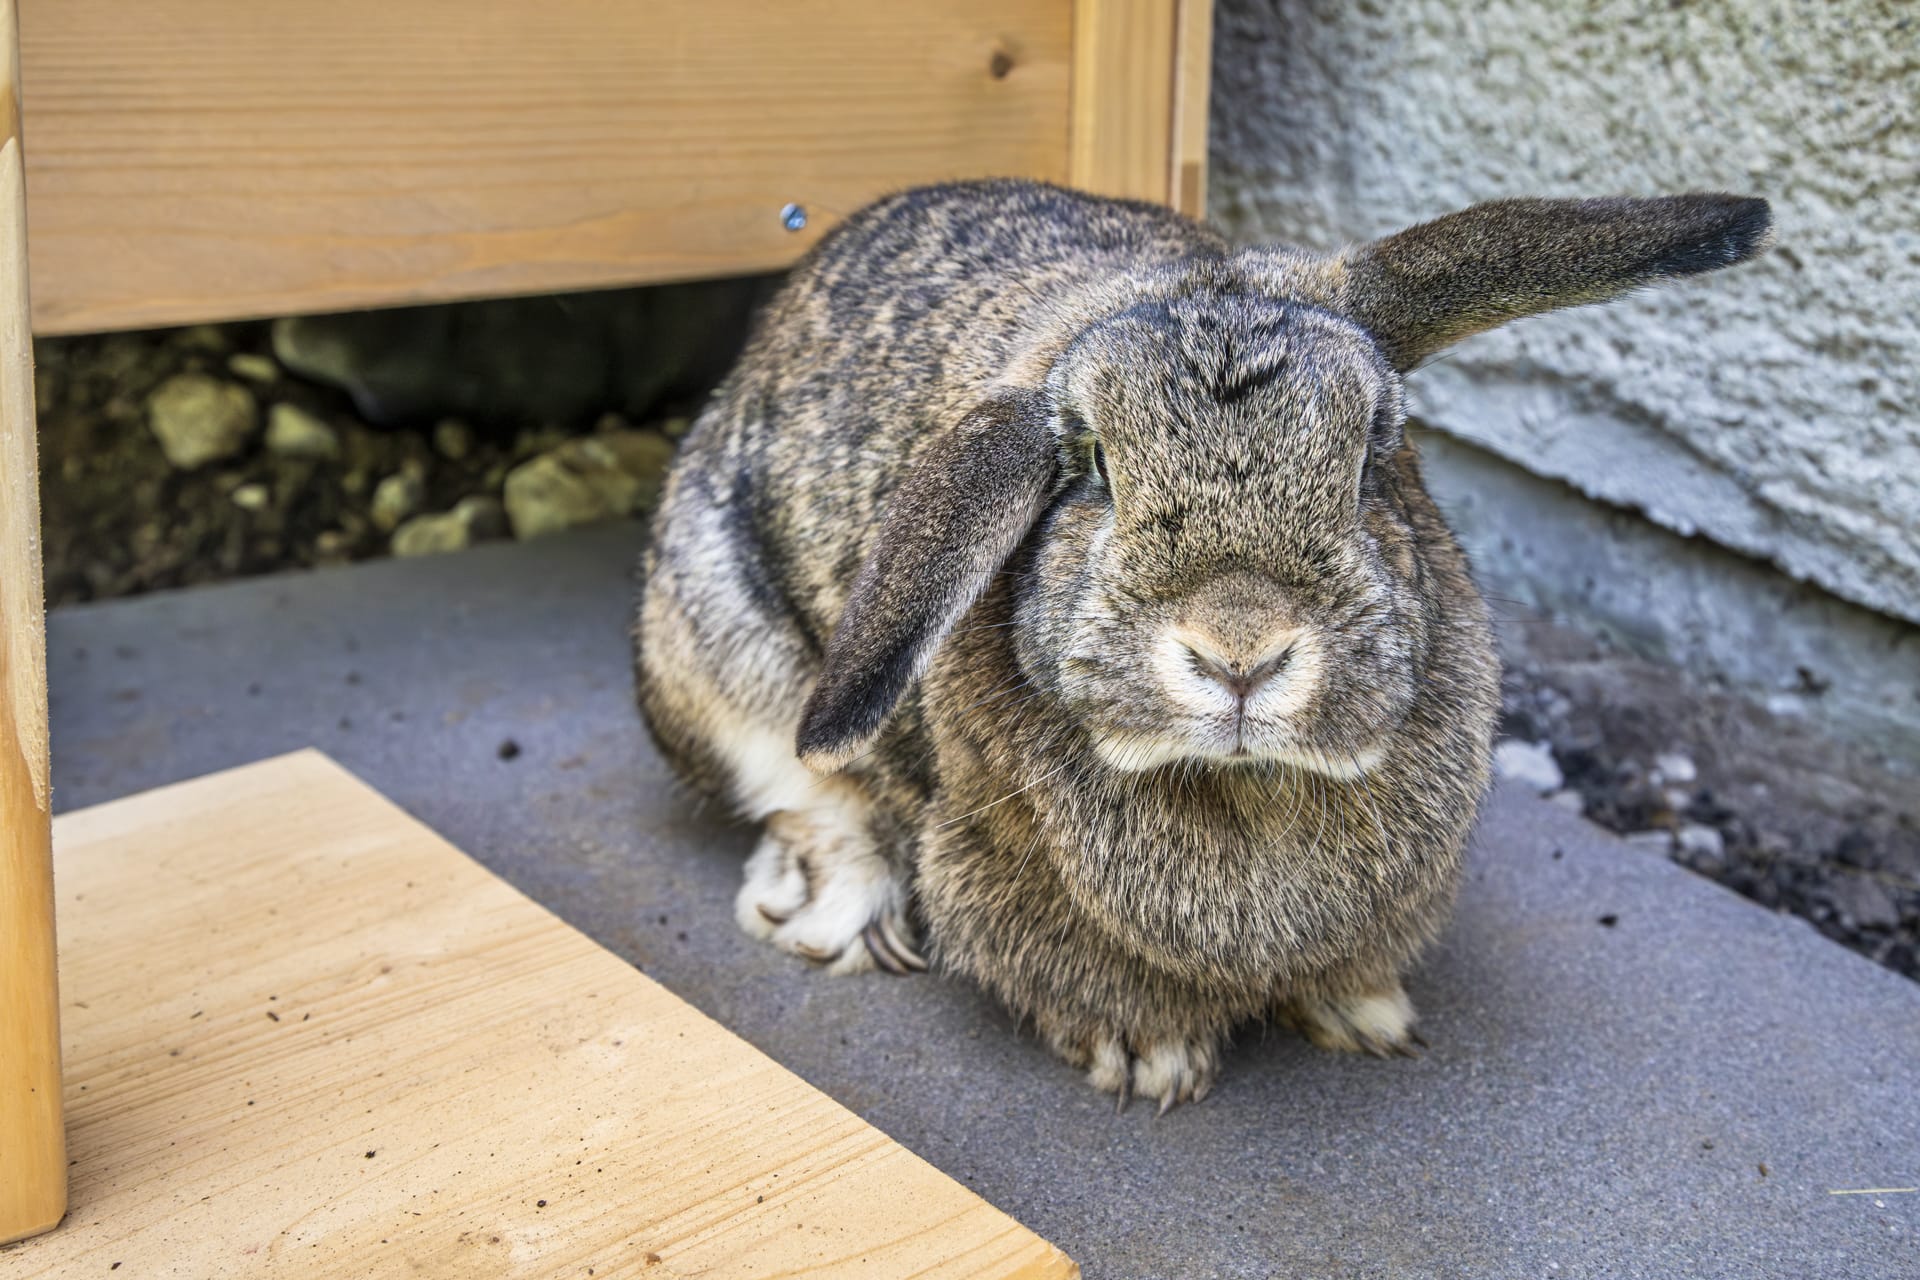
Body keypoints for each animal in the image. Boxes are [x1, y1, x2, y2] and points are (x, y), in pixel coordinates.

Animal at [633, 180, 1772, 1108]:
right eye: (1091, 467)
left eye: (1375, 455)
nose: (1241, 653)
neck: (1248, 783)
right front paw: (1152, 1060)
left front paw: (1369, 1017)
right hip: (722, 647)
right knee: (806, 791)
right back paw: (841, 917)